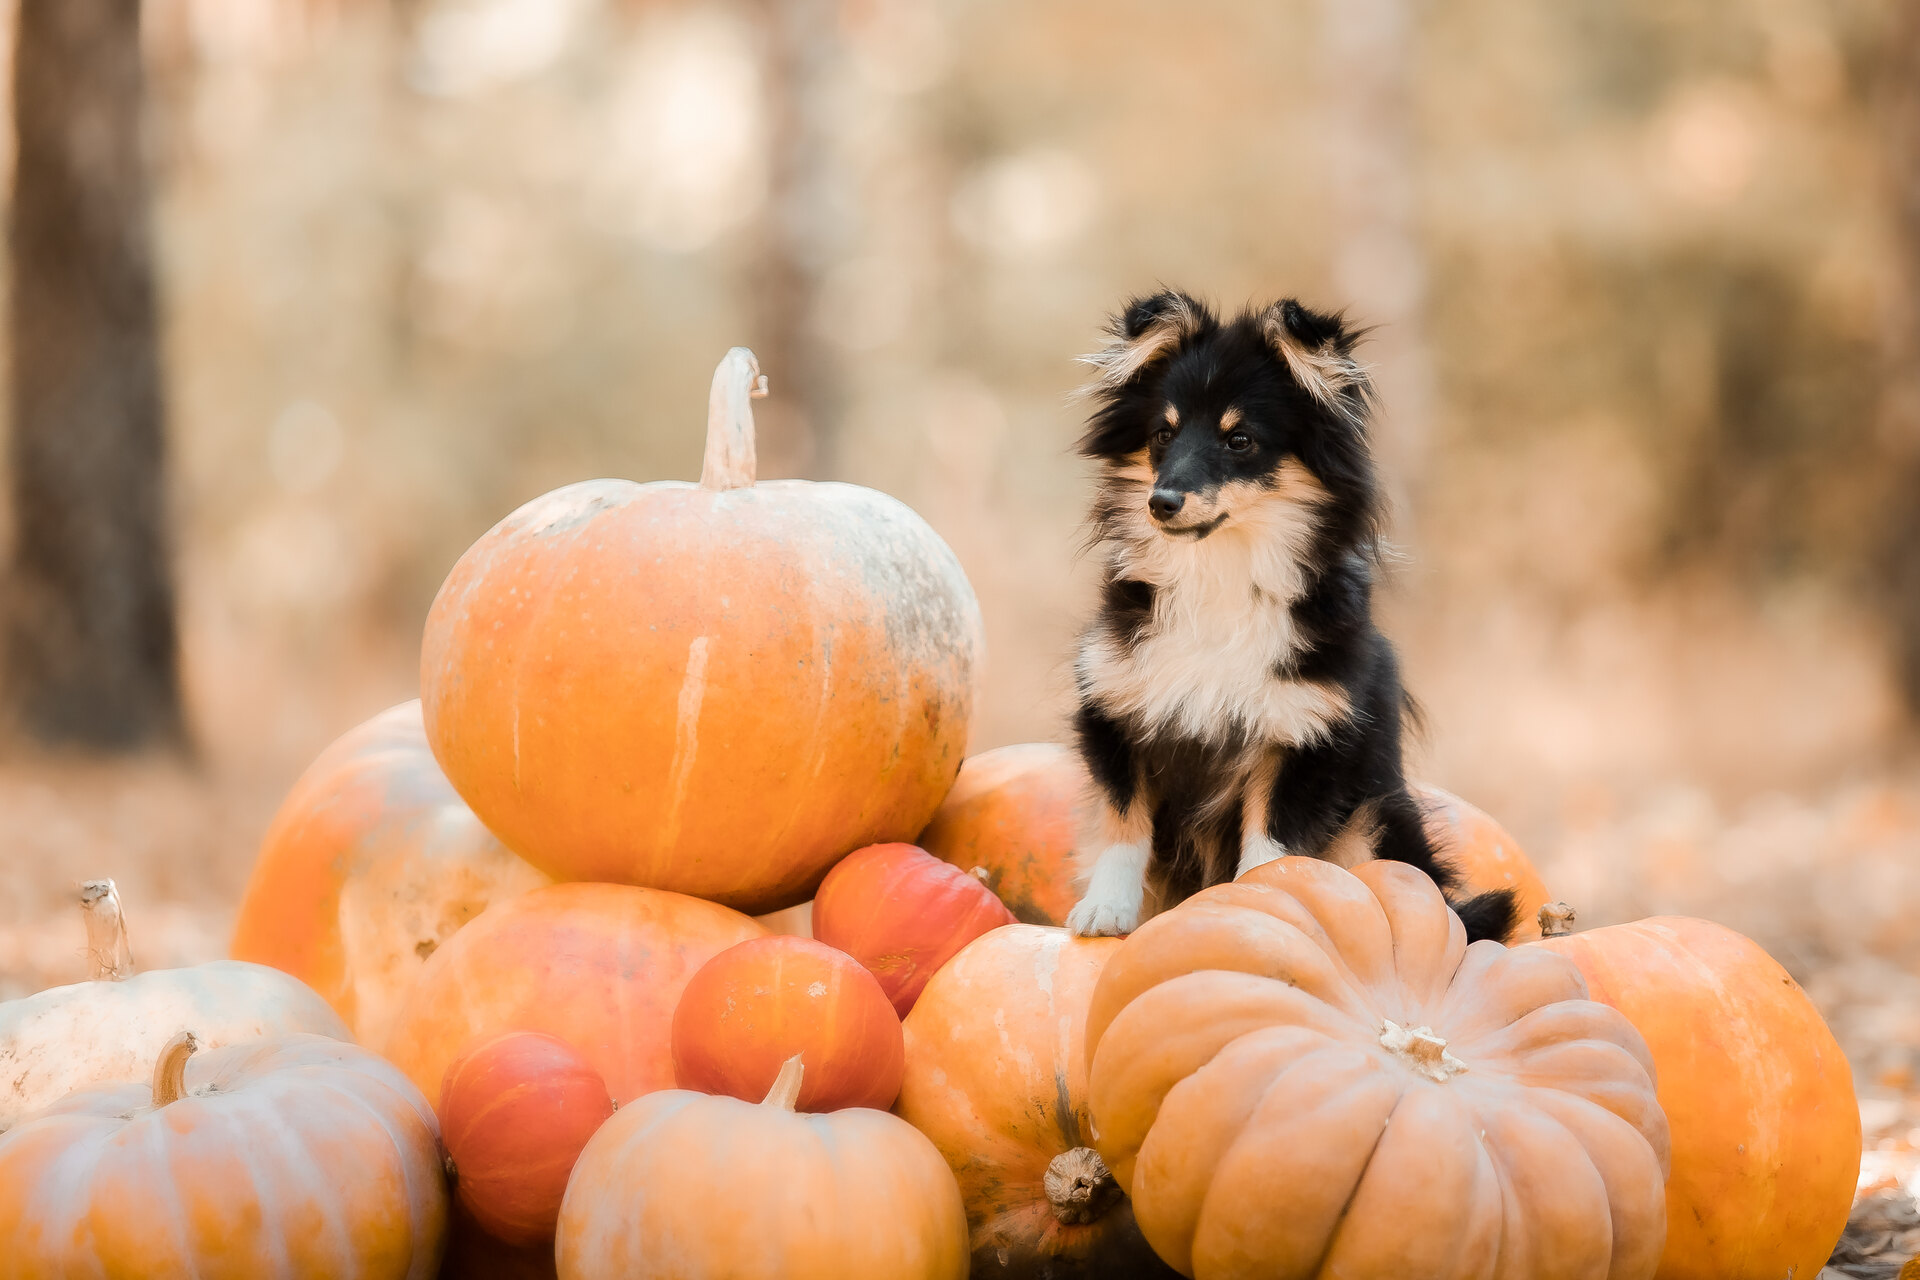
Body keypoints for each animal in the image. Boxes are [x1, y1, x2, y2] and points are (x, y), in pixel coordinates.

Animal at [1067, 293, 1512, 951]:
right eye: (1162, 434)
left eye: (1240, 440)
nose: (1160, 503)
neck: (1221, 575)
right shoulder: (1118, 711)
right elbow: (1125, 824)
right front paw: (1105, 912)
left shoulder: (1304, 736)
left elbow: (1271, 849)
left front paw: (1264, 907)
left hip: (1374, 818)